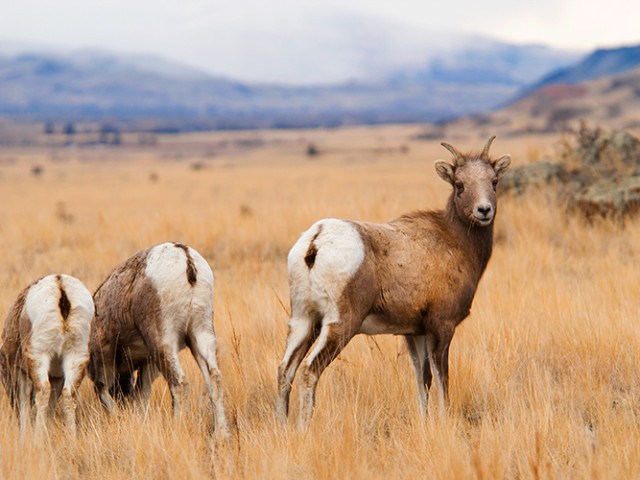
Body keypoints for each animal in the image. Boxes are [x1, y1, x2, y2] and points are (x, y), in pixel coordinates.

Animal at [0, 274, 94, 435]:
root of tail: (60, 284)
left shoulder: (20, 373)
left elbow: (25, 406)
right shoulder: (57, 378)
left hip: (40, 356)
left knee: (43, 392)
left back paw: (37, 438)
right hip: (76, 357)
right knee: (69, 395)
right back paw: (72, 439)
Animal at [87, 242, 228, 437]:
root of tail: (186, 259)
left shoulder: (104, 361)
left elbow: (104, 391)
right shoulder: (149, 364)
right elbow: (141, 396)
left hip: (162, 342)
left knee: (179, 384)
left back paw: (176, 429)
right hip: (200, 334)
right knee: (214, 380)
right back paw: (220, 436)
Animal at [276, 136, 511, 428]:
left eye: (494, 181)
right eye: (459, 184)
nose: (484, 210)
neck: (455, 242)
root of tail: (315, 241)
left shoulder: (415, 333)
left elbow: (423, 380)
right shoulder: (441, 328)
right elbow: (442, 381)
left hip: (303, 322)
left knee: (285, 370)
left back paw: (282, 428)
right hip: (339, 325)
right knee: (310, 370)